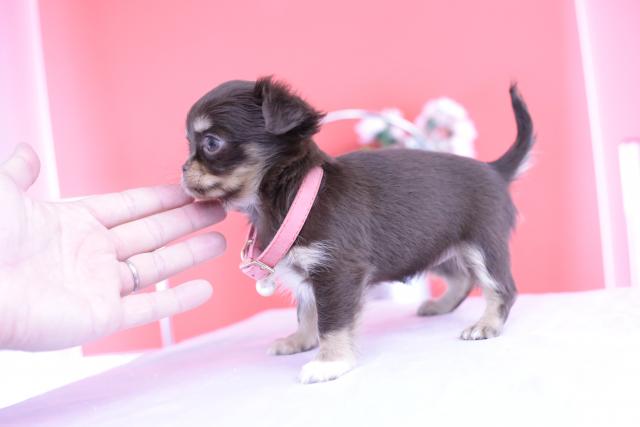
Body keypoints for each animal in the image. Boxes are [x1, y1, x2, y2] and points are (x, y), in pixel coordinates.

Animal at [181, 77, 534, 383]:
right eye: (189, 144)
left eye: (211, 143)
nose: (183, 169)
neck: (290, 195)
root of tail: (495, 169)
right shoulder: (311, 272)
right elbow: (306, 311)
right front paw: (300, 340)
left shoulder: (336, 272)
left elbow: (332, 321)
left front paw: (329, 362)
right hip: (431, 247)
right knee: (462, 278)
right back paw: (440, 306)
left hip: (481, 246)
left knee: (502, 287)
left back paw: (486, 324)